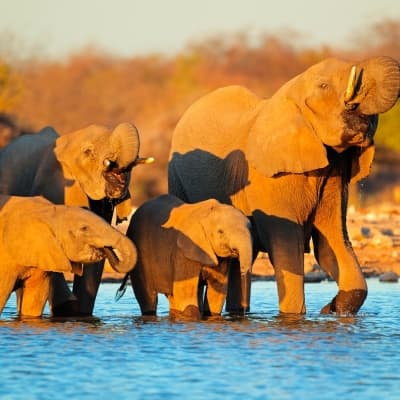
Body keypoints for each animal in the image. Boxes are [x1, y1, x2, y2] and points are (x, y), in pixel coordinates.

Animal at [116, 194, 253, 318]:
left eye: (250, 228)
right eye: (221, 232)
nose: (244, 312)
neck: (205, 215)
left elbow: (217, 293)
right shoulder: (183, 253)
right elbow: (185, 294)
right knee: (148, 298)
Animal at [168, 54, 400, 316]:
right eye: (323, 86)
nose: (358, 106)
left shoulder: (333, 175)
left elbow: (332, 244)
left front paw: (329, 310)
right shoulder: (269, 180)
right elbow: (287, 250)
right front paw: (296, 316)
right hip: (176, 179)